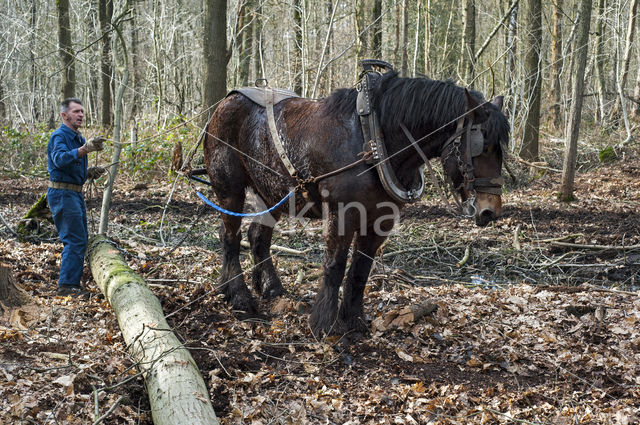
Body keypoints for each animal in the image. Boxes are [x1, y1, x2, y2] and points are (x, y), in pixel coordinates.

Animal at [202, 68, 508, 334]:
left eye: (500, 149)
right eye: (481, 145)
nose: (490, 210)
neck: (372, 137)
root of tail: (225, 103)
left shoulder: (381, 217)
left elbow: (361, 269)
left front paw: (354, 319)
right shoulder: (343, 212)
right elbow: (335, 265)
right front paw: (323, 324)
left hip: (271, 193)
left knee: (257, 237)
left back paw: (269, 288)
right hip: (230, 190)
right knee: (229, 238)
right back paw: (239, 297)